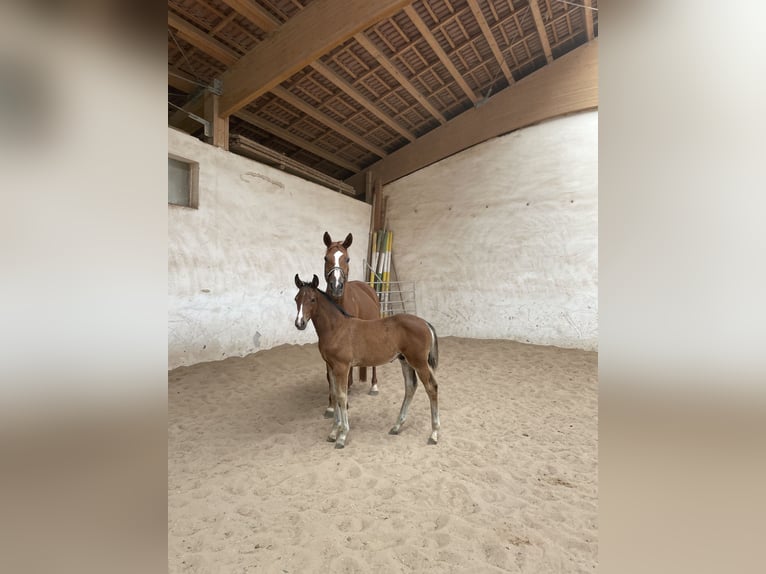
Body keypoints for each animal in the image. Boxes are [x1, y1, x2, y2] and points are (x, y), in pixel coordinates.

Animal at [294, 274, 440, 449]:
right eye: (296, 299)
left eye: (313, 299)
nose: (300, 323)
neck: (336, 329)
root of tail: (425, 323)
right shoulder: (331, 366)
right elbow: (334, 395)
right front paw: (333, 432)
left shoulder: (342, 367)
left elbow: (342, 396)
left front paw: (342, 435)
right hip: (405, 361)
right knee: (410, 387)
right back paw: (397, 426)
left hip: (419, 362)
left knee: (431, 388)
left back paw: (434, 434)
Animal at [321, 232, 381, 414]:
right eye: (326, 258)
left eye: (347, 259)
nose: (336, 286)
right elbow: (330, 376)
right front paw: (331, 405)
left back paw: (374, 386)